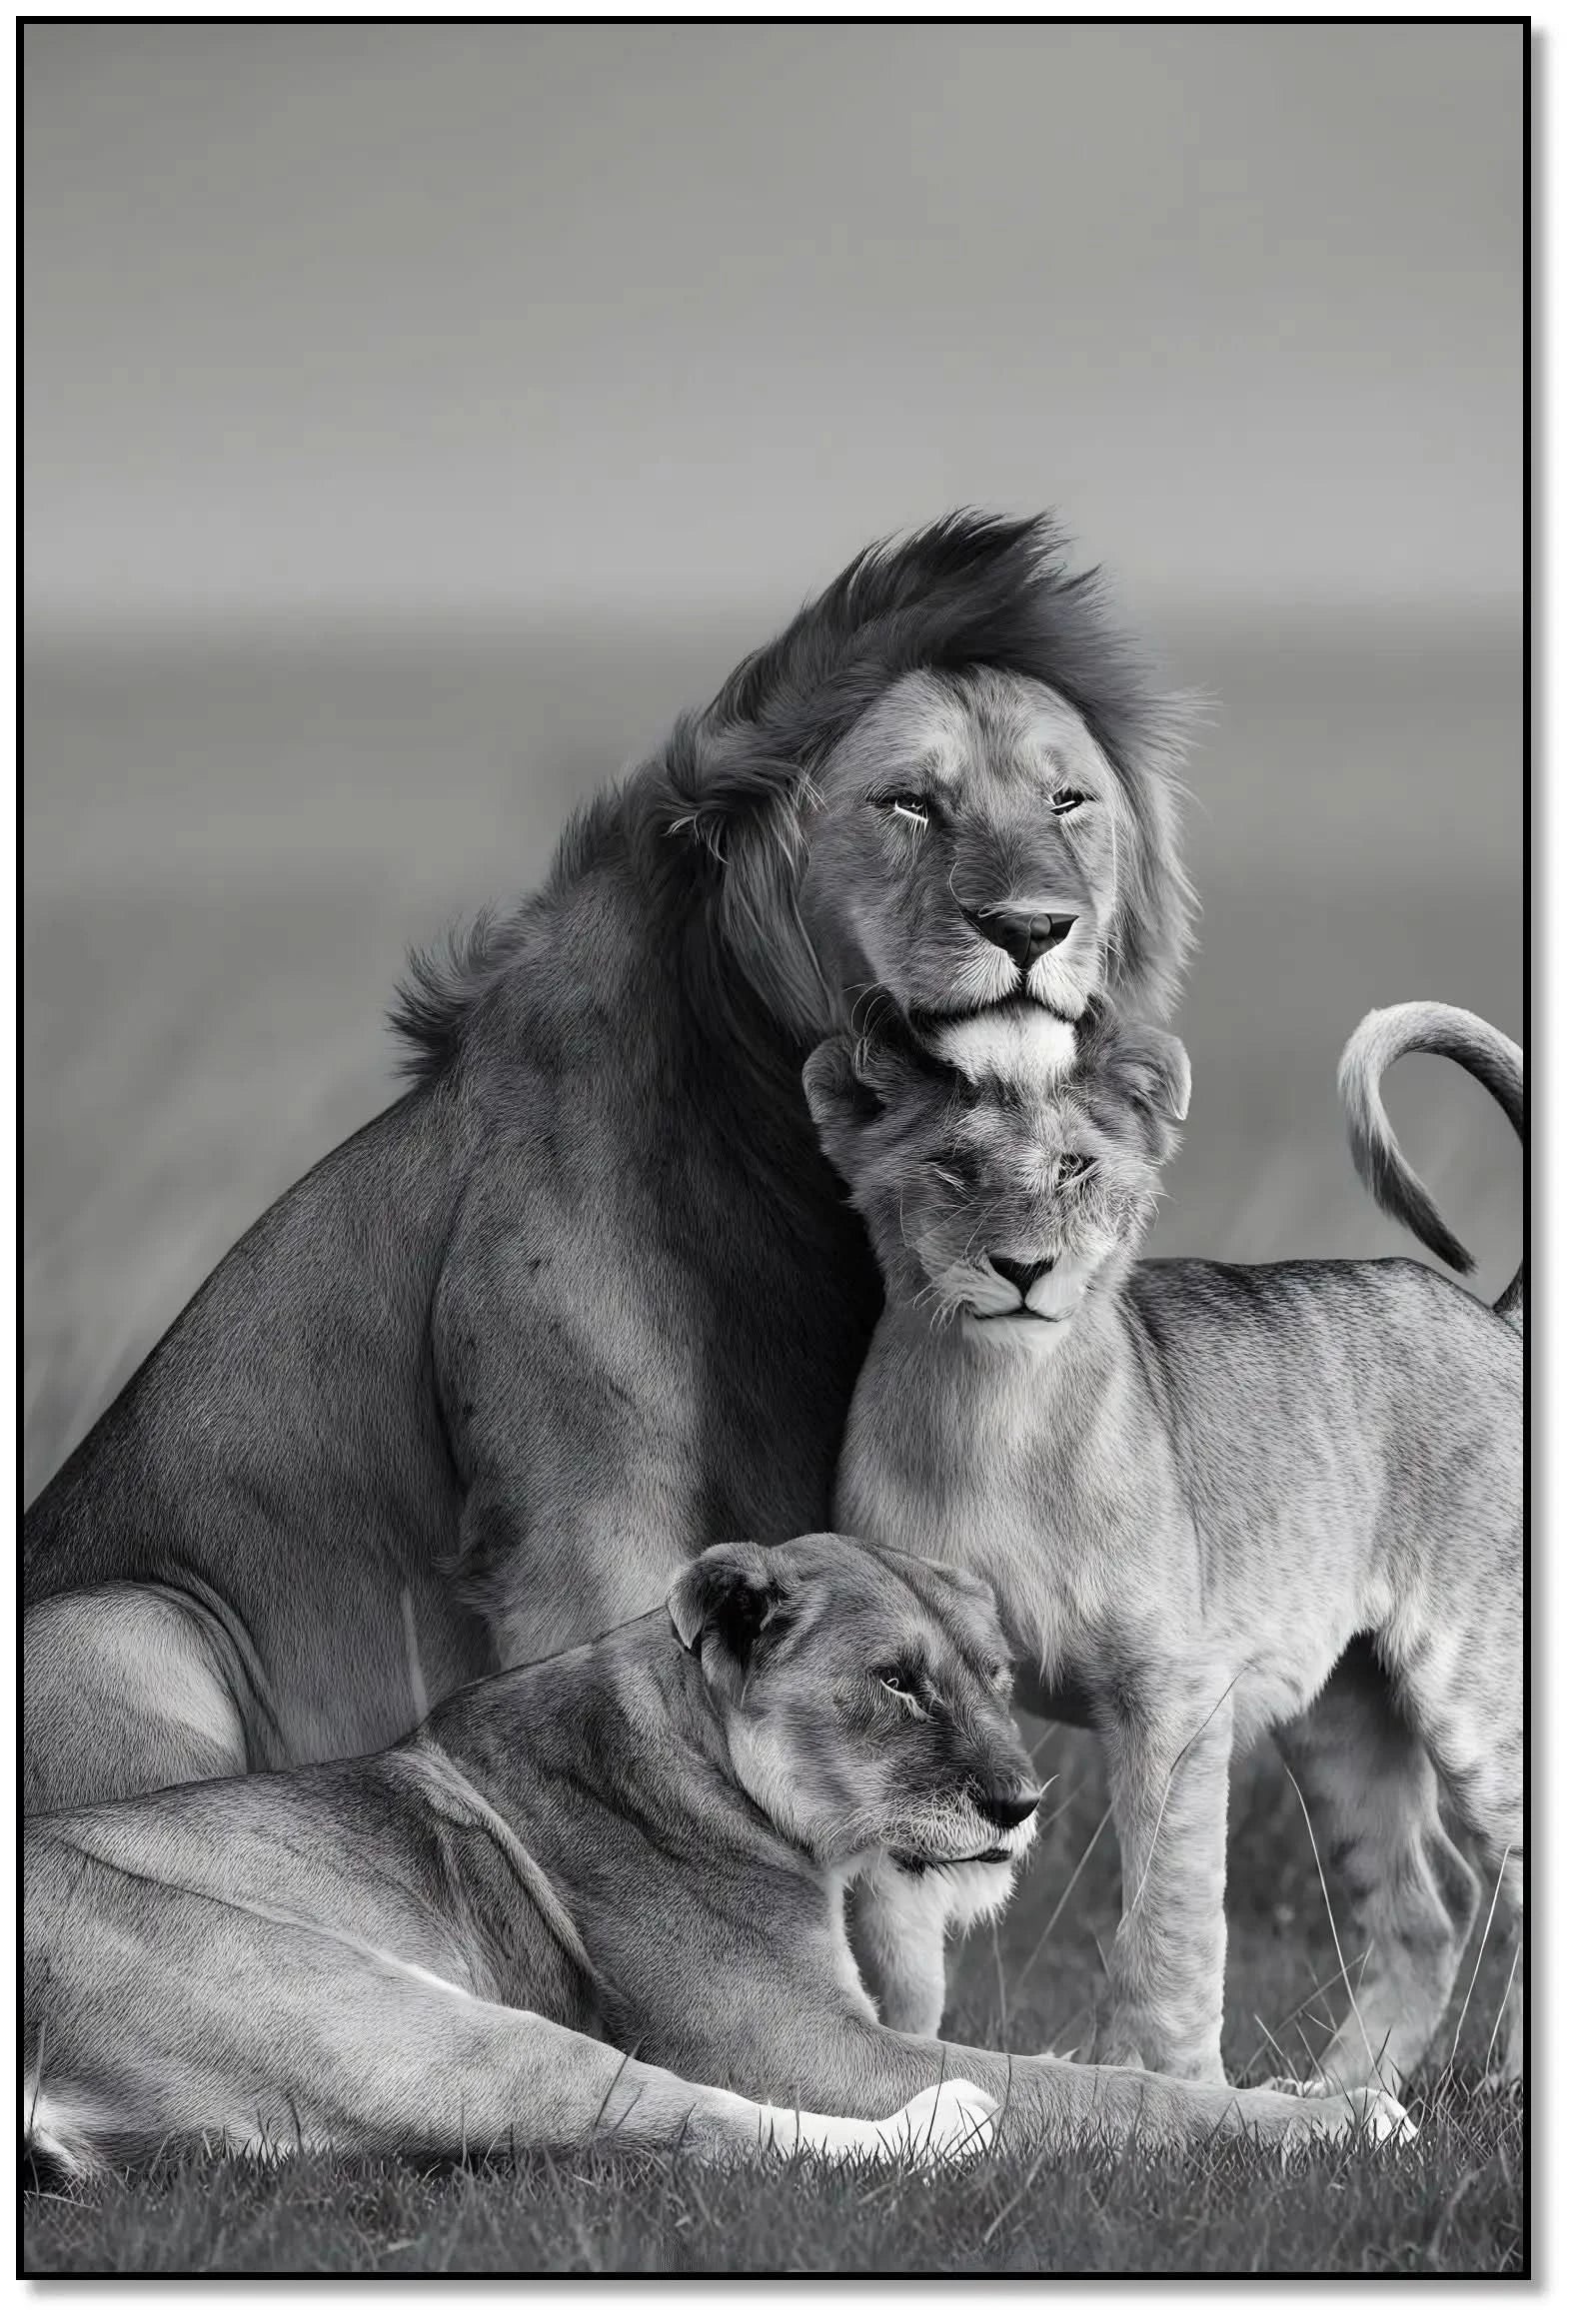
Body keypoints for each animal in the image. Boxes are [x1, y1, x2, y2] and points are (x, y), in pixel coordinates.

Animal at [23, 511, 1197, 1815]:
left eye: (1068, 800)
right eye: (910, 804)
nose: (1032, 926)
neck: (788, 1148)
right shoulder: (584, 1527)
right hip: (121, 1626)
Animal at [24, 1533, 1410, 2179]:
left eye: (995, 1674)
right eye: (897, 1681)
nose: (1021, 1802)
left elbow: (1078, 2063)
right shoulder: (799, 2042)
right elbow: (1105, 2093)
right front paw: (1327, 2114)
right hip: (358, 2002)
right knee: (682, 2121)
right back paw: (946, 2122)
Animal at [804, 1001, 1523, 2095]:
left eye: (1073, 1167)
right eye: (953, 1168)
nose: (1024, 1270)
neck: (994, 1412)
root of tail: (1494, 1318)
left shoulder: (1173, 1697)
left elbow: (1169, 1924)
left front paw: (1177, 2094)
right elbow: (897, 1930)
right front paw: (912, 2066)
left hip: (1475, 1682)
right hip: (1341, 1719)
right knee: (1422, 1914)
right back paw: (1336, 2094)